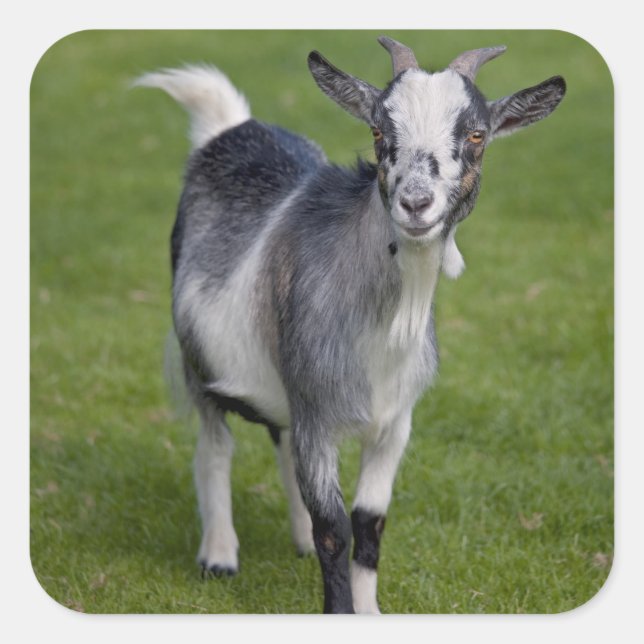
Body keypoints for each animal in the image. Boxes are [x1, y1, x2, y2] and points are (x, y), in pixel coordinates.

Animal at [136, 36, 565, 613]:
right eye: (380, 131)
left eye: (476, 134)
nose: (415, 202)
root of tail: (230, 128)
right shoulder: (317, 413)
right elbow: (334, 528)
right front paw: (339, 609)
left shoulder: (394, 421)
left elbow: (368, 523)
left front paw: (370, 609)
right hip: (199, 360)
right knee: (215, 445)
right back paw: (220, 554)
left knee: (280, 443)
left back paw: (294, 539)